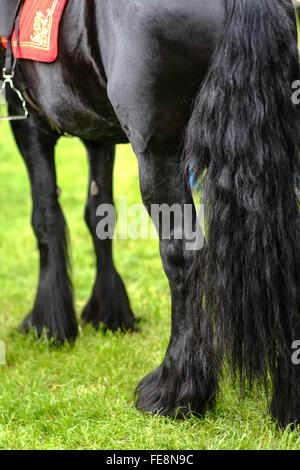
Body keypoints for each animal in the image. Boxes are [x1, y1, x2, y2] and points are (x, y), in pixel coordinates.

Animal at [0, 0, 300, 428]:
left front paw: (49, 326)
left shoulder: (26, 118)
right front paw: (108, 314)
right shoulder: (96, 129)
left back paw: (175, 392)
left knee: (182, 257)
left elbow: (46, 219)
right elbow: (98, 215)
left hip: (158, 155)